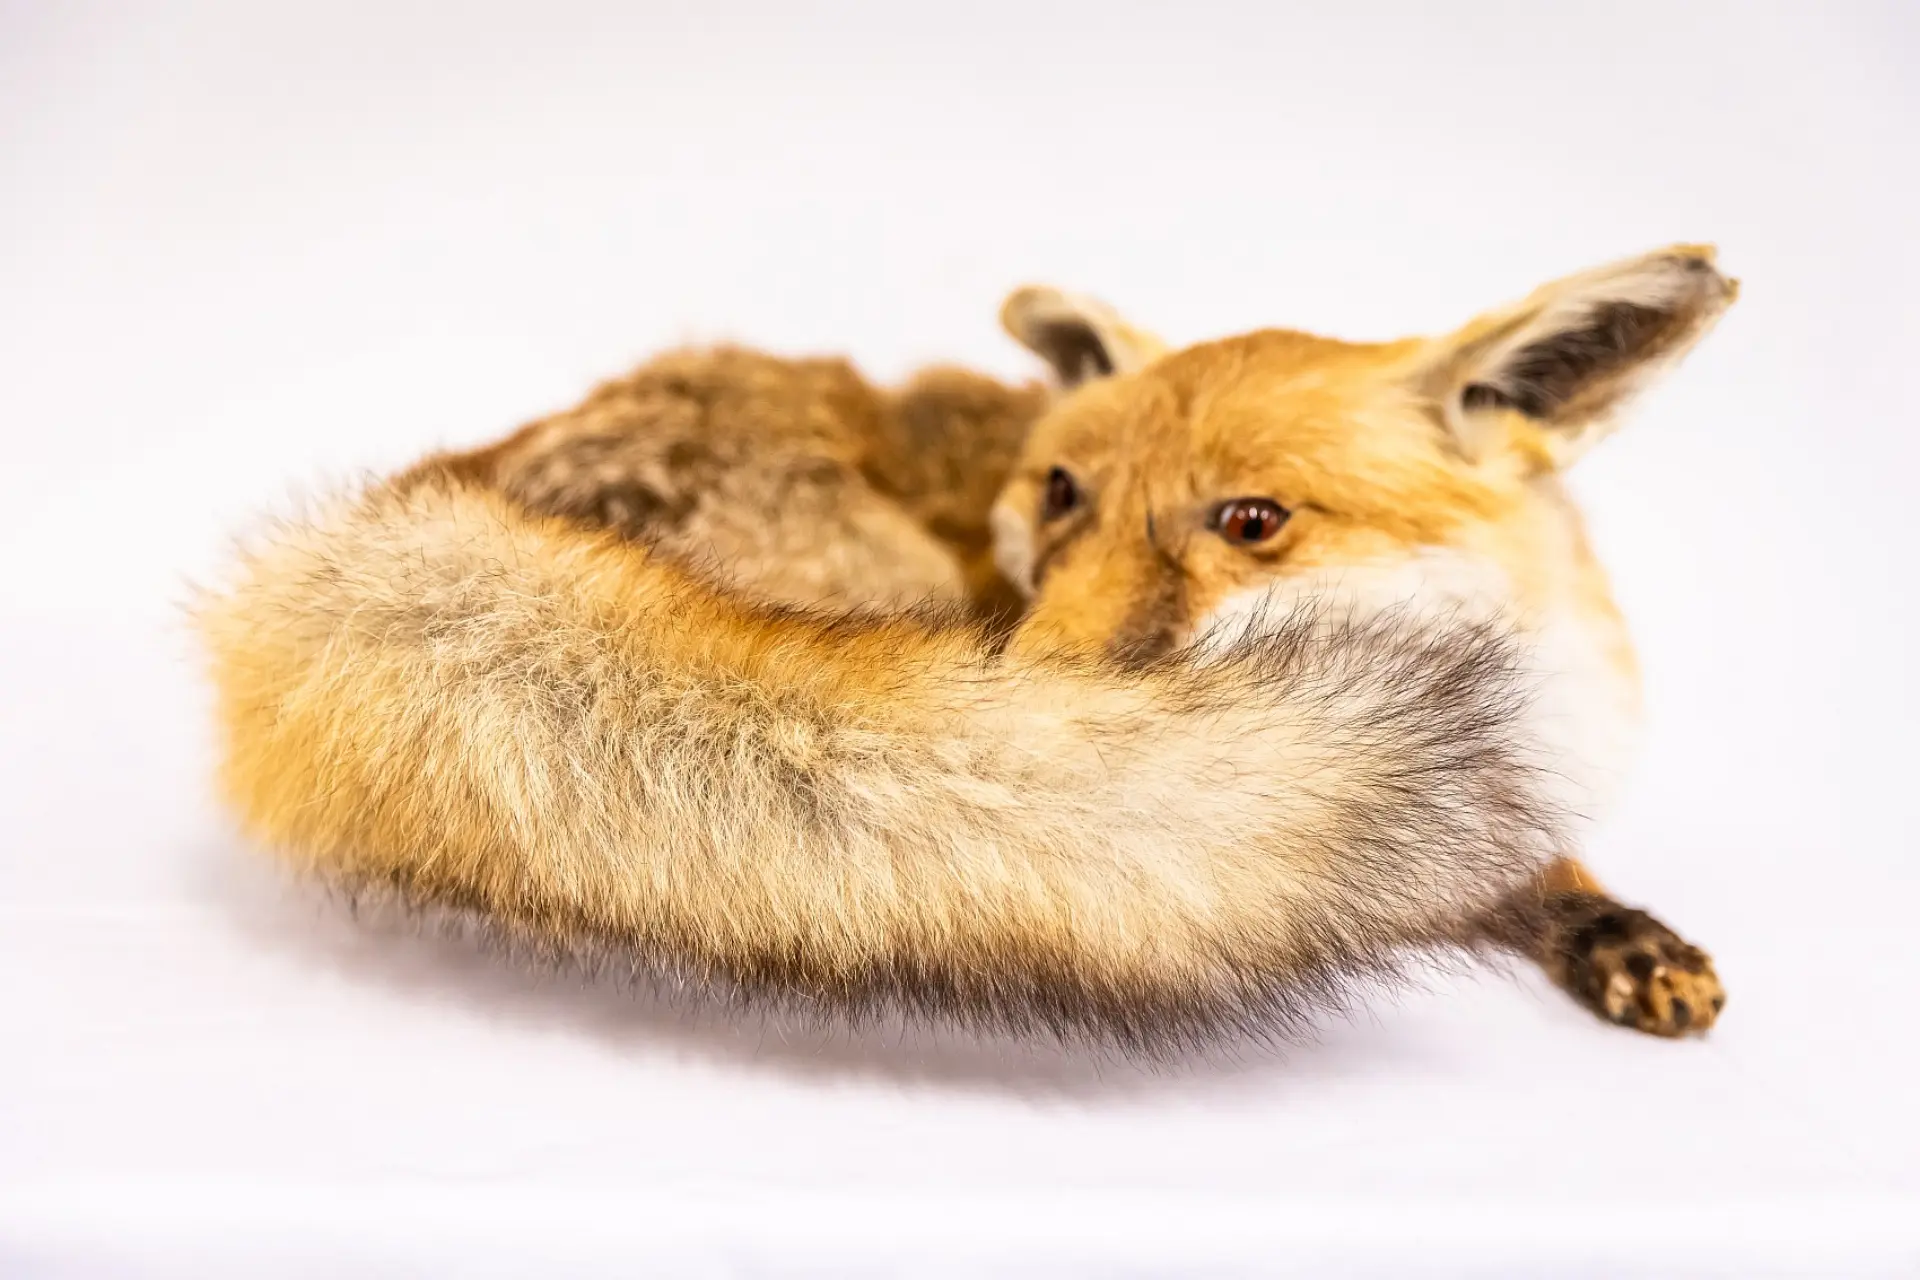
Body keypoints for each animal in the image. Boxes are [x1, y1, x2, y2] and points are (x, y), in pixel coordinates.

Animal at [196, 244, 1729, 1053]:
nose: (1038, 664)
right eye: (1059, 493)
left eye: (1251, 520)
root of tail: (449, 488)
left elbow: (1544, 863)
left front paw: (1618, 932)